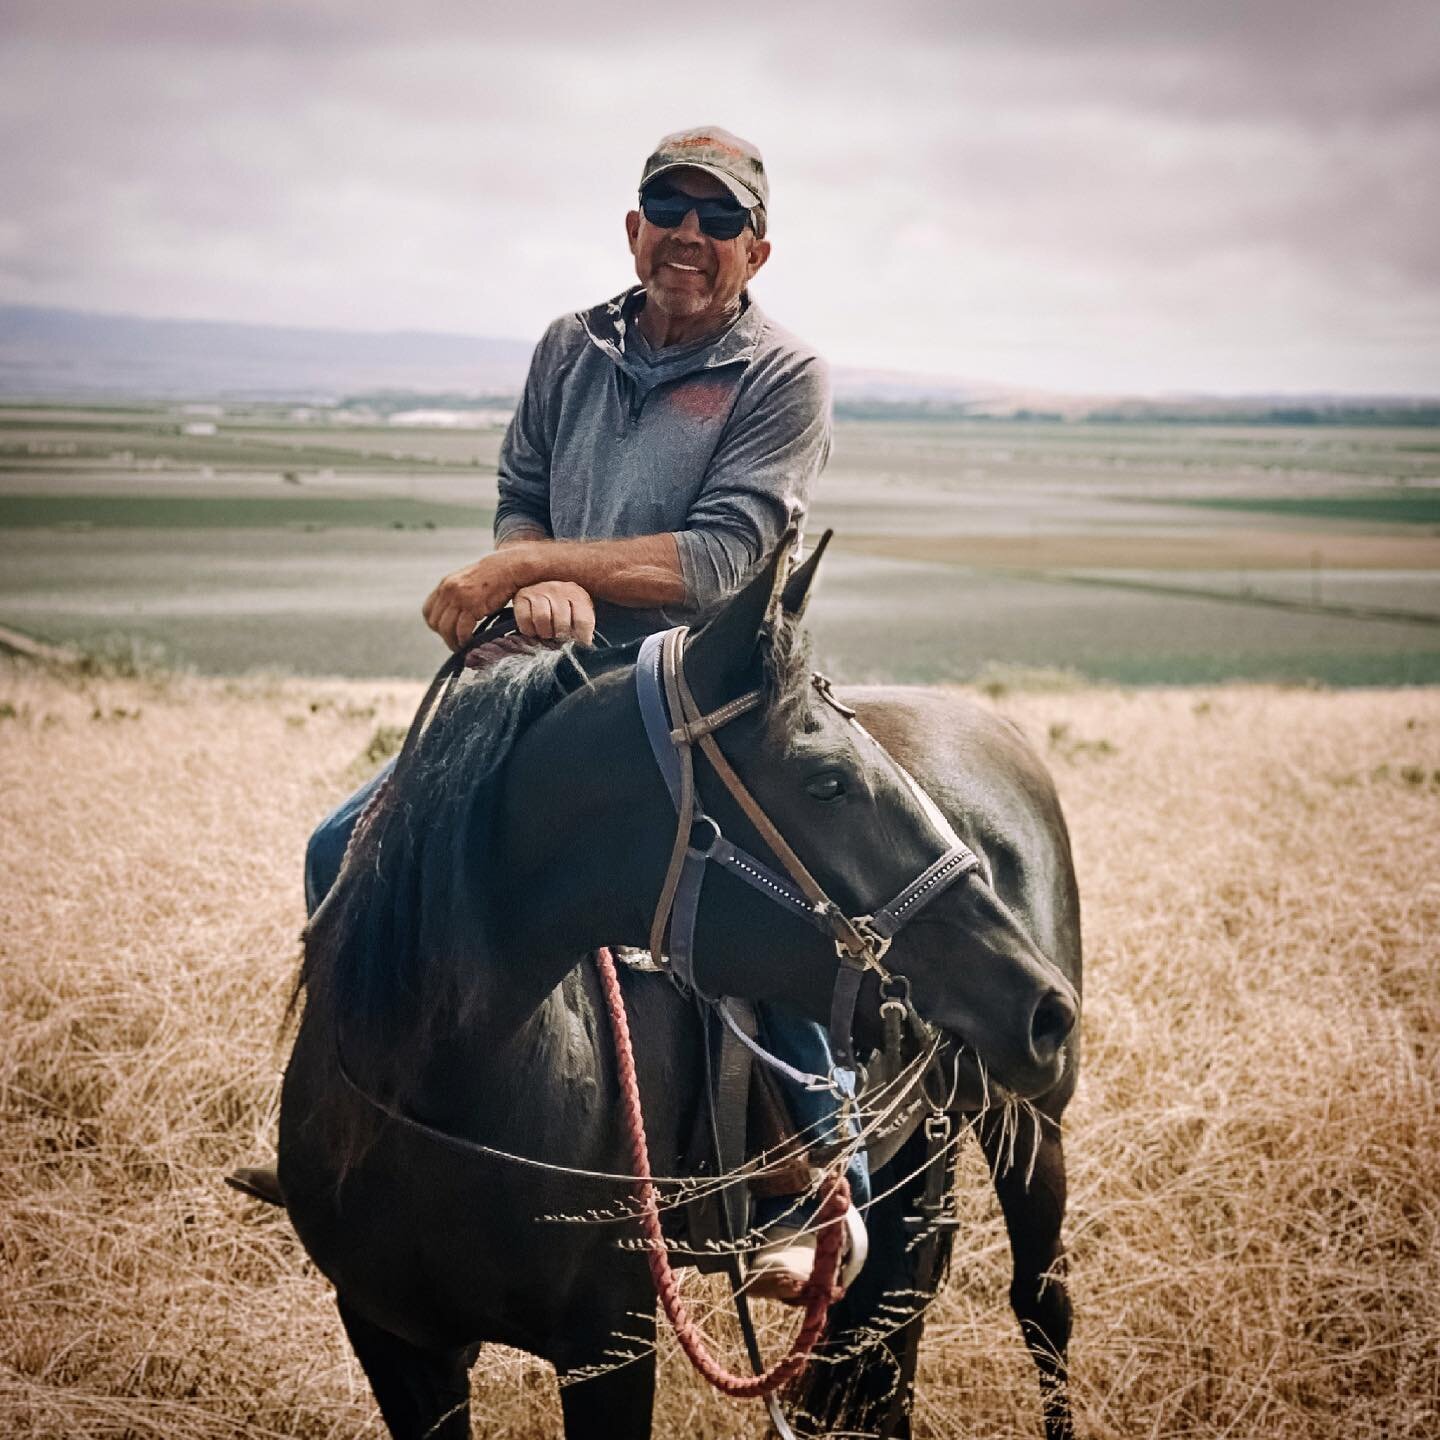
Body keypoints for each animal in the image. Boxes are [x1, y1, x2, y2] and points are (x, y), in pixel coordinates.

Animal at [277, 541, 1082, 1440]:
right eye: (828, 782)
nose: (1045, 1010)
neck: (445, 1094)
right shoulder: (394, 1339)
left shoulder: (611, 1344)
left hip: (1032, 1125)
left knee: (1039, 1305)